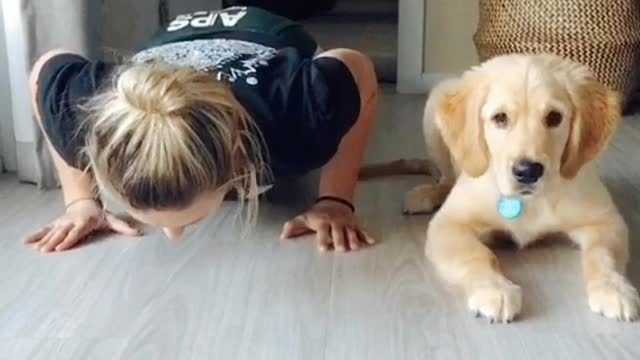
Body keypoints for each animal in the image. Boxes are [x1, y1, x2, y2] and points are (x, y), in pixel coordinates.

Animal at [398, 53, 636, 324]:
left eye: (555, 117)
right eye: (500, 118)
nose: (527, 172)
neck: (529, 201)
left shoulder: (605, 221)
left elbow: (602, 254)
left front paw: (613, 288)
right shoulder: (449, 224)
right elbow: (476, 254)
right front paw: (494, 290)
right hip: (435, 108)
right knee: (446, 178)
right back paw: (425, 194)